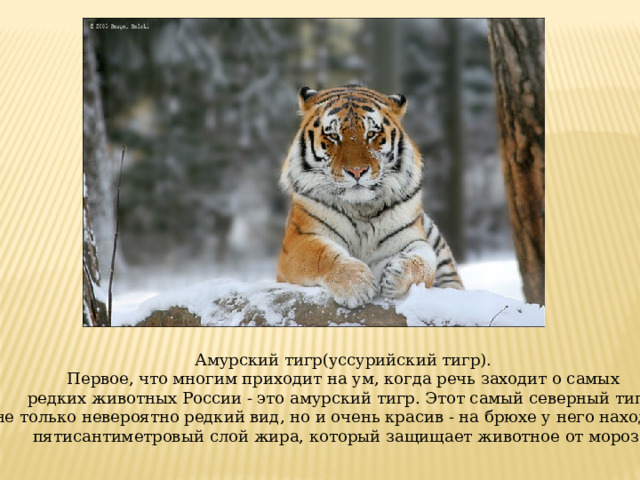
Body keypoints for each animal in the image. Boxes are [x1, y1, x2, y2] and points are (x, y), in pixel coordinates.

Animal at [277, 85, 463, 308]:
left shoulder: (412, 238)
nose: (357, 171)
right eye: (333, 136)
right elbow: (322, 255)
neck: (361, 207)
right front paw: (356, 284)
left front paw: (396, 274)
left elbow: (424, 261)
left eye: (372, 134)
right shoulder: (299, 240)